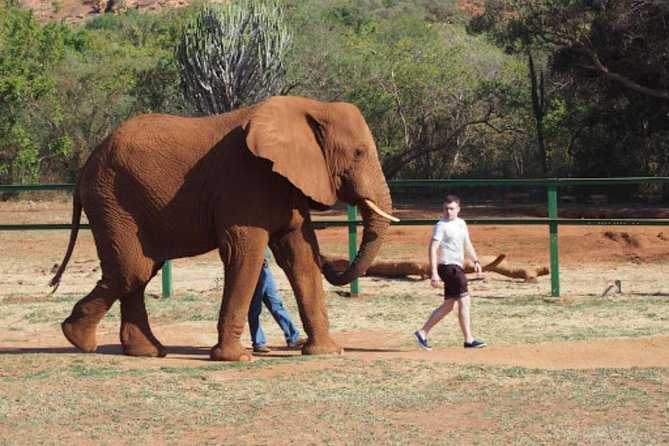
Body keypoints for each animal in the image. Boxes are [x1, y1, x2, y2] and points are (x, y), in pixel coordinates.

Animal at [50, 95, 398, 361]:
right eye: (359, 153)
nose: (333, 264)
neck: (310, 107)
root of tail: (83, 171)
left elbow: (301, 257)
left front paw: (328, 352)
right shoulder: (243, 181)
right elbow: (245, 255)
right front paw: (236, 358)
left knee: (140, 271)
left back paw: (144, 351)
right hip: (111, 200)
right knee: (132, 271)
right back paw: (79, 339)